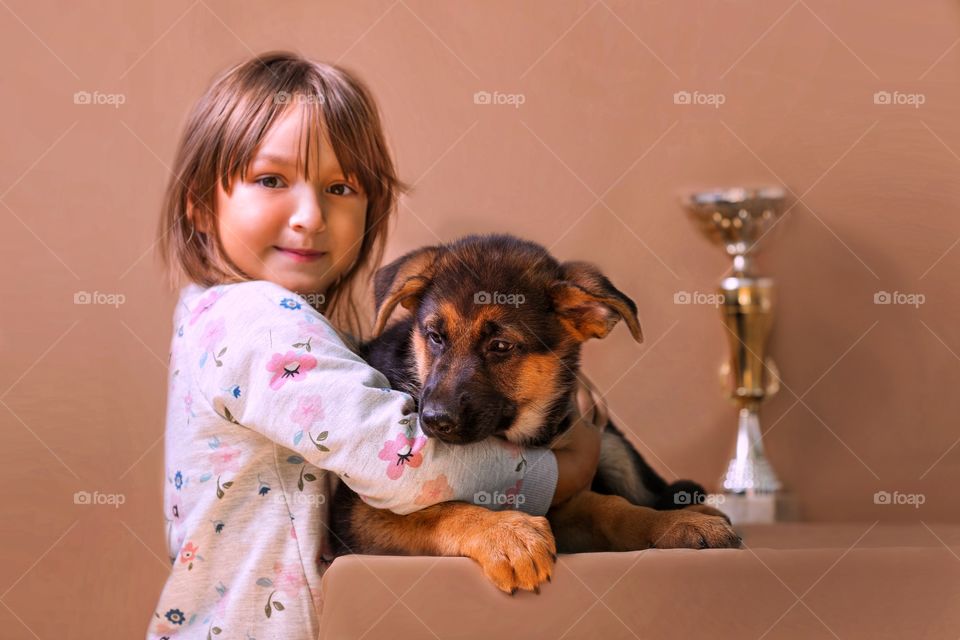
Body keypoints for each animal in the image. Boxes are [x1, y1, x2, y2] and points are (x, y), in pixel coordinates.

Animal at [332, 232, 744, 592]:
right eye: (435, 336)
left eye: (501, 346)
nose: (433, 421)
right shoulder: (358, 516)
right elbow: (439, 509)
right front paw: (505, 534)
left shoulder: (564, 501)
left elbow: (609, 506)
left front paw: (676, 523)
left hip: (613, 448)